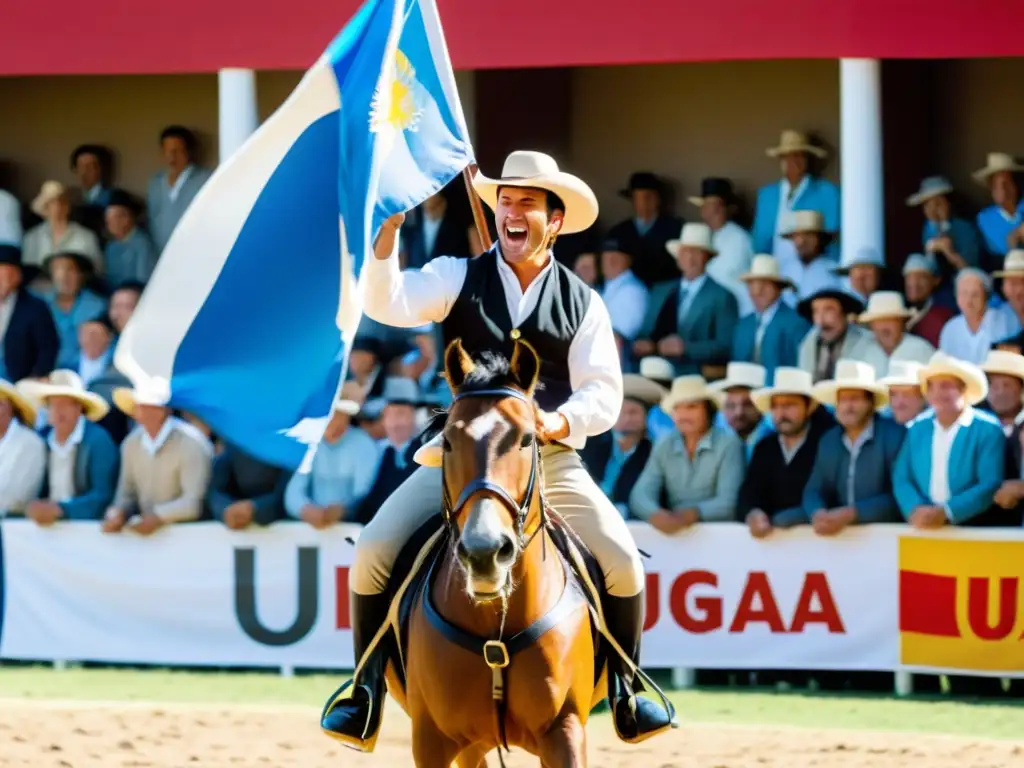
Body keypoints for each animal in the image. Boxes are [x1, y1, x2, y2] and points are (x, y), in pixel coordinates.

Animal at [385, 342, 606, 768]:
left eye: (526, 439)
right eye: (448, 441)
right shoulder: (431, 739)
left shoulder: (565, 730)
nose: (484, 552)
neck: (495, 627)